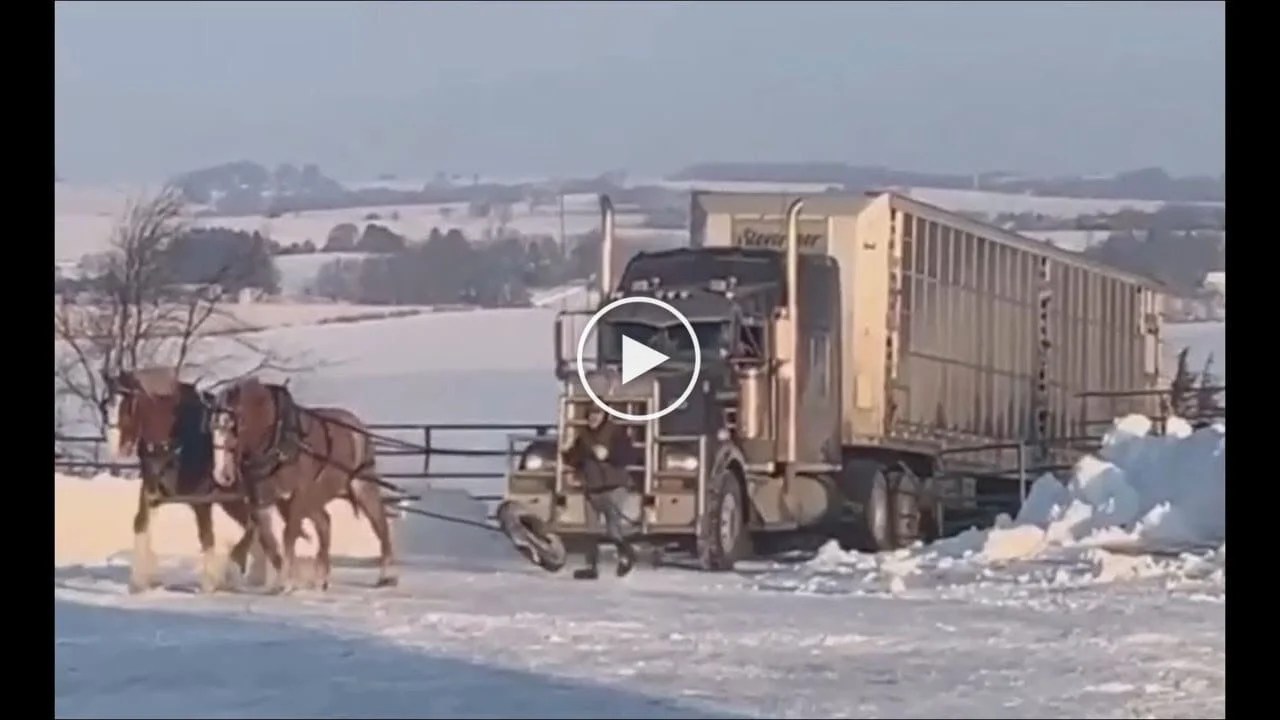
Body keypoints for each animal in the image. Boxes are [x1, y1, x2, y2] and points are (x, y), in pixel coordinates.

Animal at [102, 368, 303, 593]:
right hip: (234, 501)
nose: (115, 449)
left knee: (261, 527)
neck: (178, 442)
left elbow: (207, 536)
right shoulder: (151, 494)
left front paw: (209, 583)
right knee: (258, 528)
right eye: (107, 404)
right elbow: (140, 524)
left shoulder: (202, 501)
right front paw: (138, 582)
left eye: (129, 404)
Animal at [209, 376, 396, 592]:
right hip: (313, 498)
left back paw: (386, 576)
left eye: (235, 425)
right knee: (324, 523)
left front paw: (288, 581)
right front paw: (286, 577)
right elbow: (268, 539)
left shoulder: (298, 495)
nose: (222, 474)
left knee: (380, 525)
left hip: (362, 486)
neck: (279, 441)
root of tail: (358, 428)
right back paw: (321, 577)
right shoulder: (261, 501)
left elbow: (289, 535)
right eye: (213, 427)